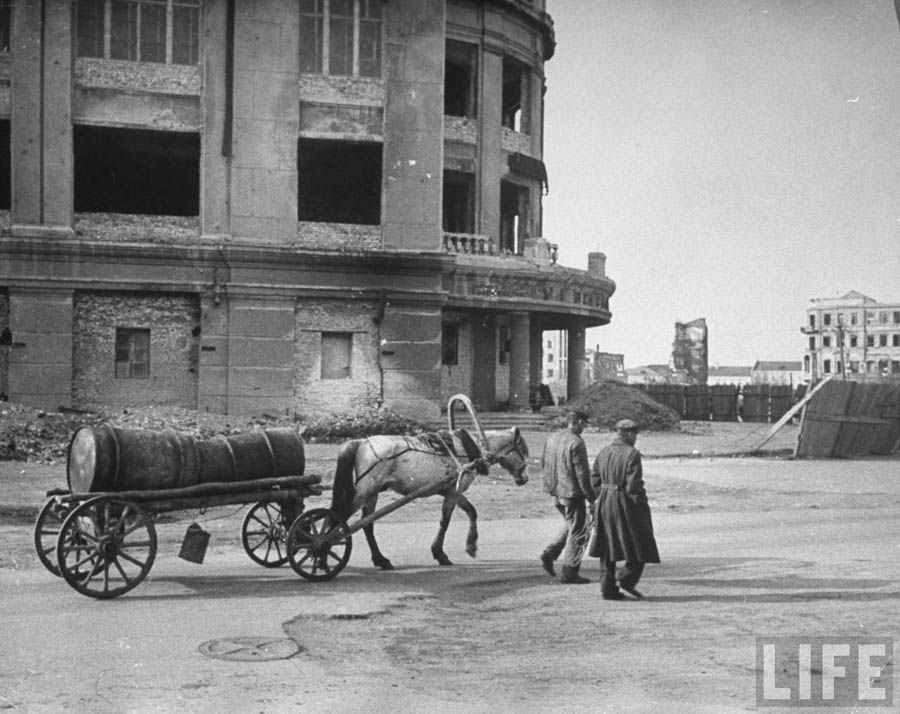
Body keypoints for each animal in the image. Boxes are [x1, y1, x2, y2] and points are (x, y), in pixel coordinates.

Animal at [328, 426, 528, 572]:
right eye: (523, 451)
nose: (525, 479)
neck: (468, 448)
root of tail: (362, 442)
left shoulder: (451, 490)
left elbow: (471, 511)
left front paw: (471, 546)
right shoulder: (454, 492)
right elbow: (445, 521)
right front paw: (440, 554)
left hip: (372, 493)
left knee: (366, 524)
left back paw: (380, 560)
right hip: (366, 490)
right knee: (340, 517)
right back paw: (325, 550)